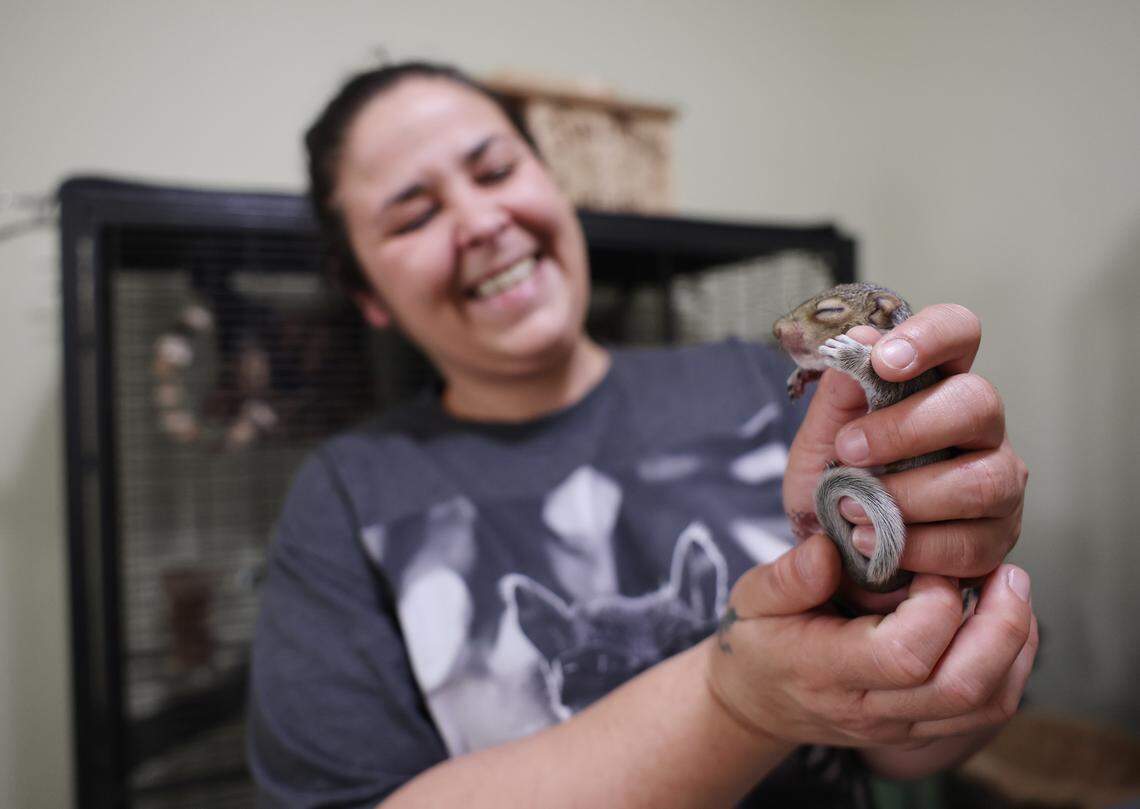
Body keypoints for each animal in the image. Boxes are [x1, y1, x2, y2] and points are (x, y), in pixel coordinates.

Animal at [772, 283, 954, 592]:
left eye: (829, 310)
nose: (776, 329)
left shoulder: (904, 384)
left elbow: (881, 386)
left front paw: (853, 356)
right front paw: (801, 374)